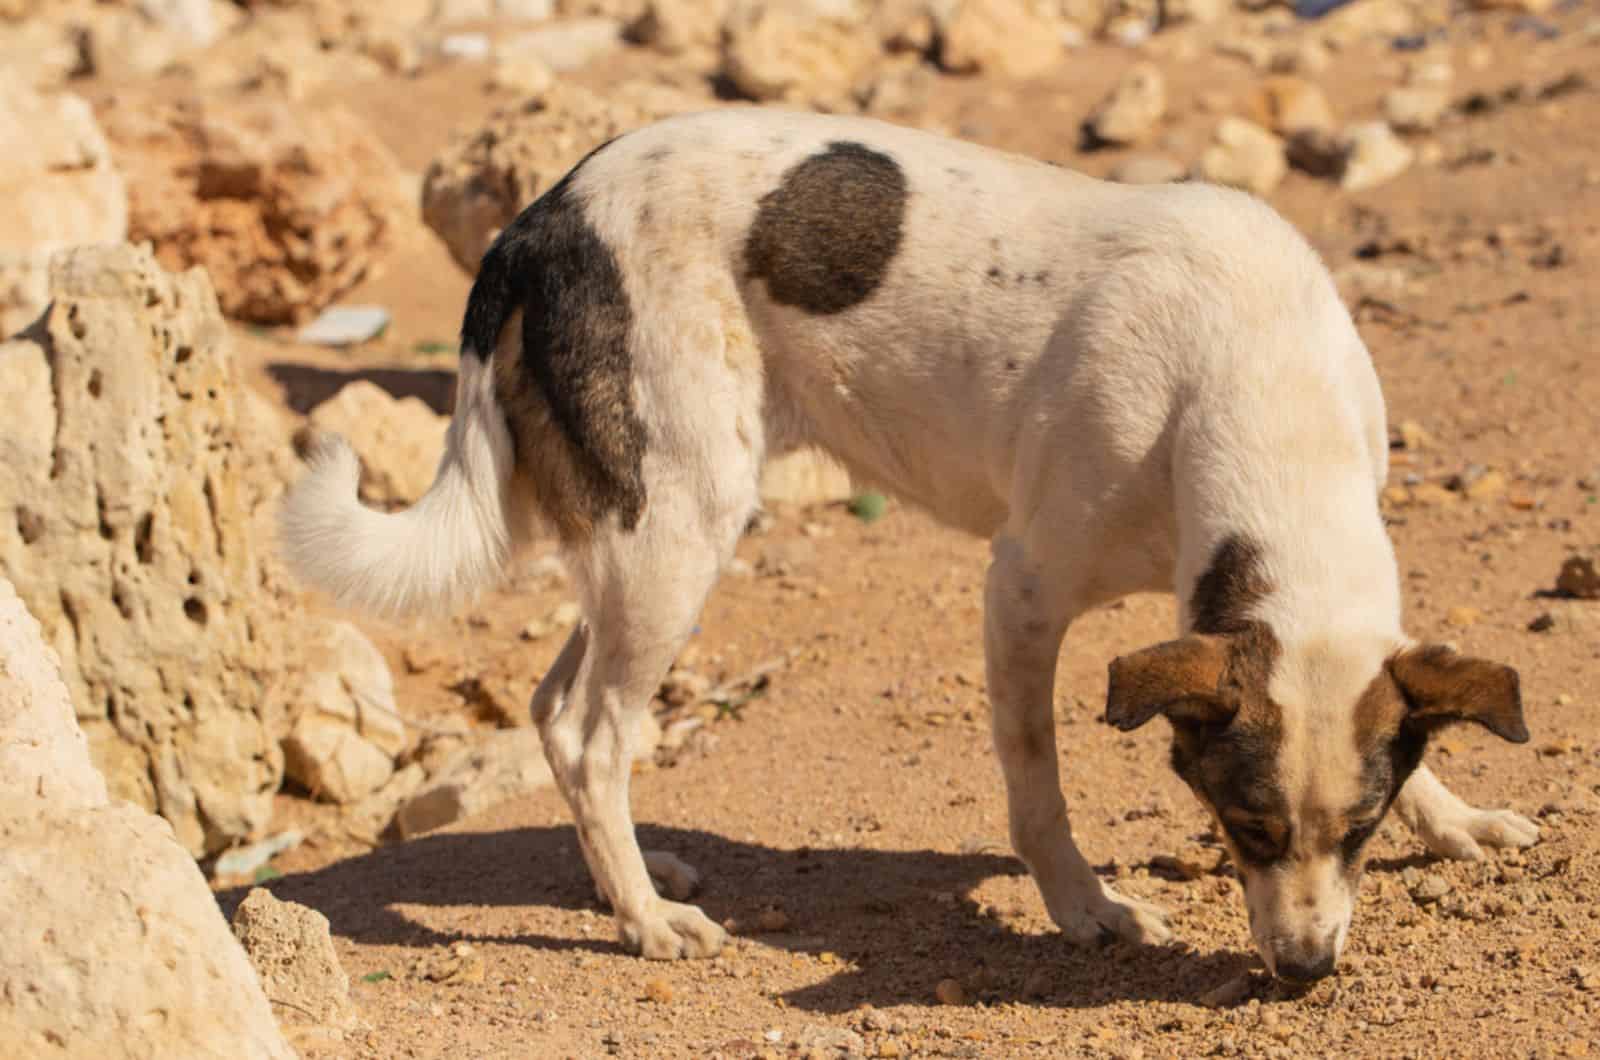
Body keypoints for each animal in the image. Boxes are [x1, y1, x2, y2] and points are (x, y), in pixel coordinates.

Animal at [281, 105, 1542, 979]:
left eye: (1360, 831)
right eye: (1244, 828)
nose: (1304, 969)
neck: (1255, 378)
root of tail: (536, 221)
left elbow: (1403, 712)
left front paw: (1454, 818)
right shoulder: (1019, 591)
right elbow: (1037, 790)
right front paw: (1085, 909)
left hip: (635, 533)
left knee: (553, 707)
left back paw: (627, 875)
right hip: (680, 523)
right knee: (592, 730)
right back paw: (646, 918)